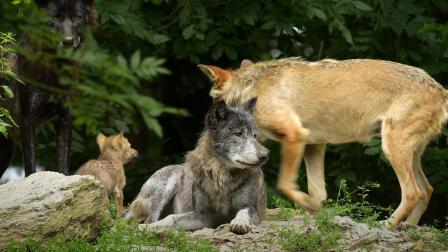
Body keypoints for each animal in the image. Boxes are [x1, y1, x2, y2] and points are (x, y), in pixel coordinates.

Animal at [0, 0, 96, 177]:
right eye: (55, 18)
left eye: (77, 17)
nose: (68, 41)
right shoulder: (27, 119)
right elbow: (30, 165)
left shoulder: (65, 117)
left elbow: (64, 163)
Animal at [124, 98, 268, 234]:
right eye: (238, 134)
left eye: (255, 136)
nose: (265, 155)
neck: (221, 175)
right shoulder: (202, 215)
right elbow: (170, 218)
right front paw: (143, 228)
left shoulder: (252, 207)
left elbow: (243, 212)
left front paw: (239, 223)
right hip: (171, 180)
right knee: (150, 218)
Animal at [199, 58, 448, 227]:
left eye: (215, 104)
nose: (208, 123)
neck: (254, 88)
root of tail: (441, 89)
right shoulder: (314, 144)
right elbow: (317, 192)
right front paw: (314, 213)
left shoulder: (295, 136)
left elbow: (284, 185)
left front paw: (308, 207)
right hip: (408, 154)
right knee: (427, 189)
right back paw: (407, 227)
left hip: (392, 149)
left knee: (413, 192)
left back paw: (388, 225)